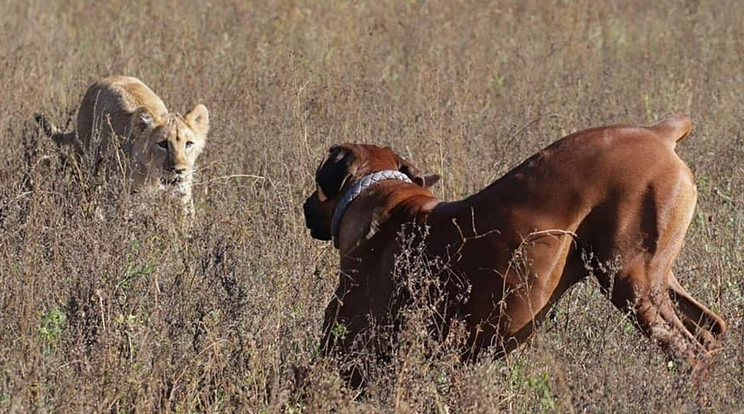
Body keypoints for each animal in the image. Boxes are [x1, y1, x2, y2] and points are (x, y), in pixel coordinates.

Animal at [302, 115, 728, 380]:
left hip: (629, 283)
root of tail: (659, 132)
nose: (306, 206)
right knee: (711, 330)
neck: (388, 196)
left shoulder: (350, 352)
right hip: (655, 278)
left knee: (688, 352)